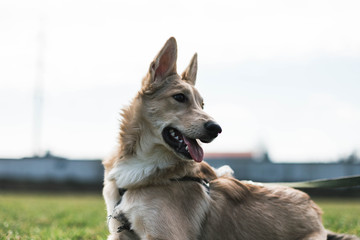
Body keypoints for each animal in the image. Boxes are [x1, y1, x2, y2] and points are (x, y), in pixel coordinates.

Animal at [102, 37, 358, 240]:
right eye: (179, 97)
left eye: (202, 104)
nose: (216, 128)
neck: (143, 172)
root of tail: (316, 213)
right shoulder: (118, 233)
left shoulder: (166, 235)